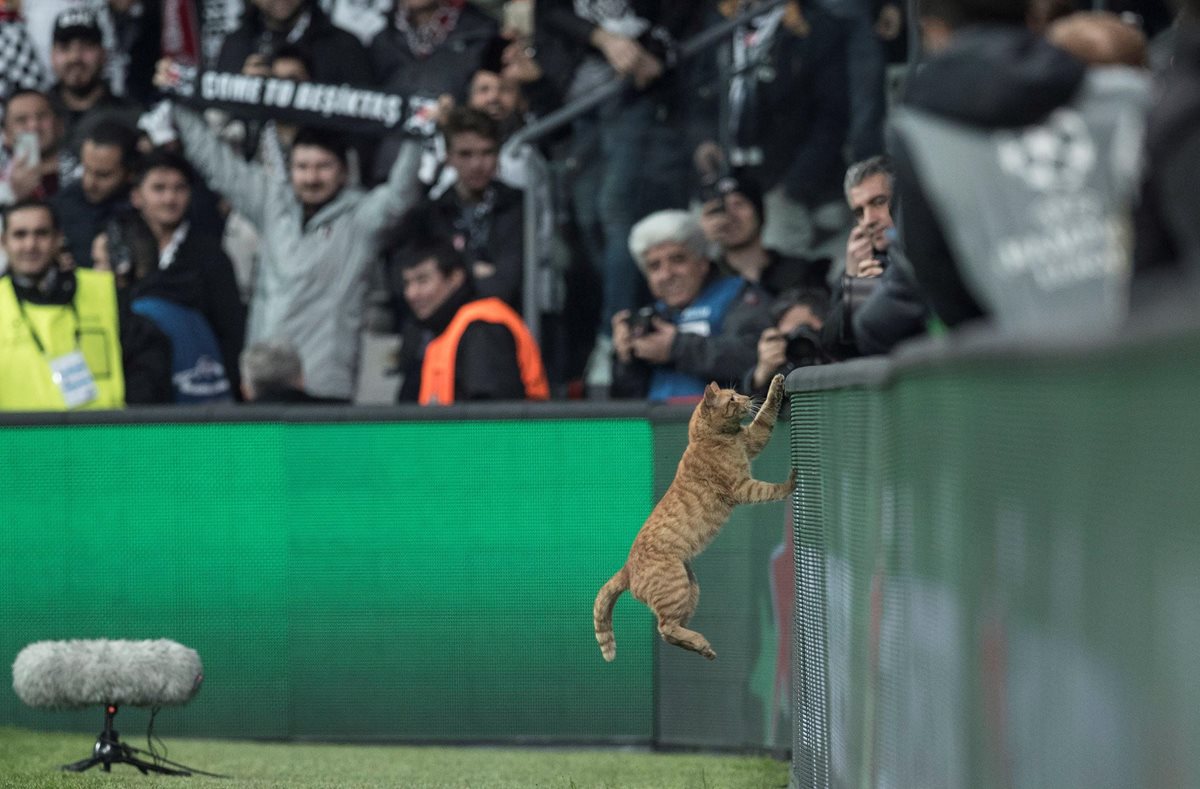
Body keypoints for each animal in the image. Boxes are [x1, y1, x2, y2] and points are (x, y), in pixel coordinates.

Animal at [592, 374, 796, 657]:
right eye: (732, 399)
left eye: (737, 394)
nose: (747, 398)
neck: (711, 437)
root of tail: (627, 569)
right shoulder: (742, 487)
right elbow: (771, 489)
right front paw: (791, 482)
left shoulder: (753, 438)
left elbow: (766, 413)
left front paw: (775, 384)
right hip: (676, 588)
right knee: (665, 628)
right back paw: (700, 643)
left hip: (691, 589)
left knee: (672, 631)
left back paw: (703, 648)